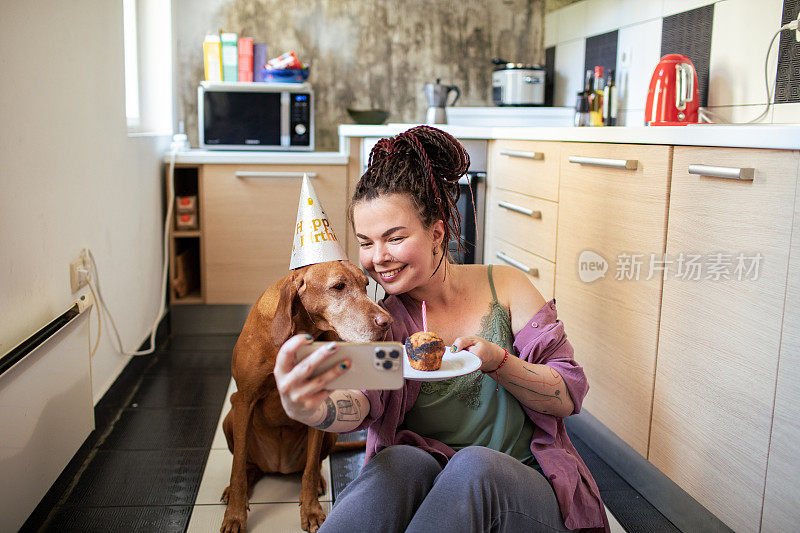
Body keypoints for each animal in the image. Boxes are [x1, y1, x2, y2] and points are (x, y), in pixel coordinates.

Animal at [220, 260, 392, 528]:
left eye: (366, 285)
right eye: (338, 286)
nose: (387, 321)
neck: (297, 332)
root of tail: (278, 467)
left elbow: (310, 468)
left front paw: (311, 510)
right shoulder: (245, 399)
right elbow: (236, 467)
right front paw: (235, 514)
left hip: (331, 431)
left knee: (313, 463)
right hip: (230, 417)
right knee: (246, 462)